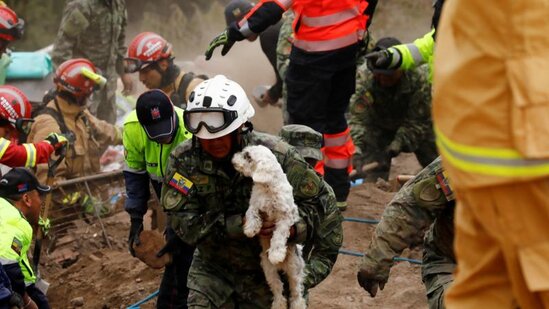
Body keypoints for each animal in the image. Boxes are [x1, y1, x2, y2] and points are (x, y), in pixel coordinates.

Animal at [231, 144, 306, 308]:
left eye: (247, 156)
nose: (233, 158)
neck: (267, 187)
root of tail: (281, 267)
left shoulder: (285, 217)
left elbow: (279, 235)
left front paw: (276, 254)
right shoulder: (255, 204)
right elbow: (251, 213)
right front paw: (250, 229)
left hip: (294, 268)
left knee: (296, 292)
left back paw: (297, 304)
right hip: (268, 270)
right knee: (278, 290)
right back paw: (278, 304)